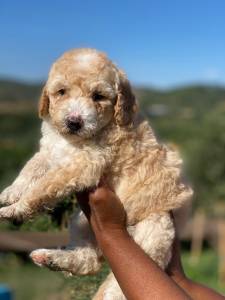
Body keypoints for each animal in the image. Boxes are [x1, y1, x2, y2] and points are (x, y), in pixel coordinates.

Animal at [0, 48, 193, 298]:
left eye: (98, 96)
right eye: (61, 92)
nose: (74, 121)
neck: (73, 140)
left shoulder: (85, 163)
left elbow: (43, 186)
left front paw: (16, 209)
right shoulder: (50, 151)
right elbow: (31, 169)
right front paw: (10, 193)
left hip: (154, 234)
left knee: (114, 283)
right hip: (82, 221)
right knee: (88, 260)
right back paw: (50, 258)